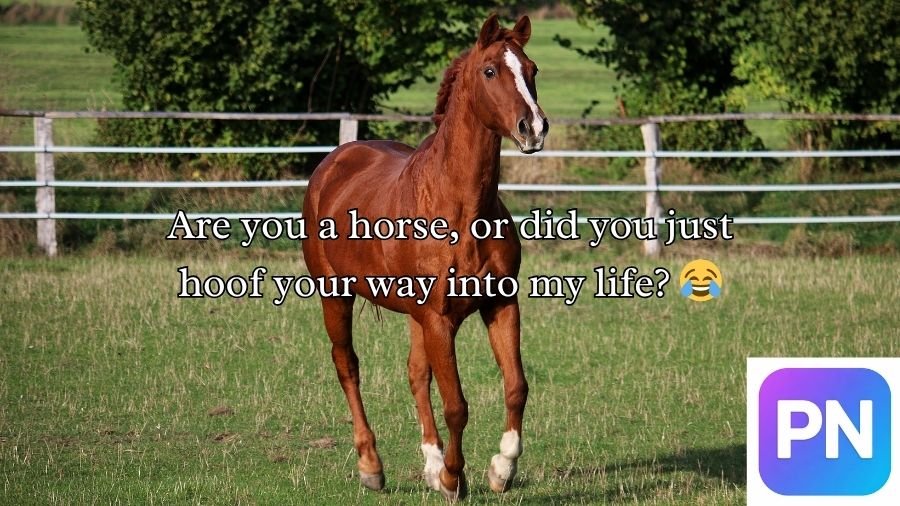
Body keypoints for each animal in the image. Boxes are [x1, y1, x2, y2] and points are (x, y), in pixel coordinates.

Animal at [301, 14, 548, 501]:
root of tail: (334, 161)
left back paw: (431, 465)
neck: (461, 209)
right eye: (490, 71)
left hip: (414, 314)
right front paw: (455, 478)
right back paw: (372, 467)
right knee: (348, 367)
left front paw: (501, 469)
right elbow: (457, 405)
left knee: (416, 373)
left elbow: (516, 387)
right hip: (334, 294)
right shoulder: (439, 319)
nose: (533, 127)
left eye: (531, 70)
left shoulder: (499, 304)